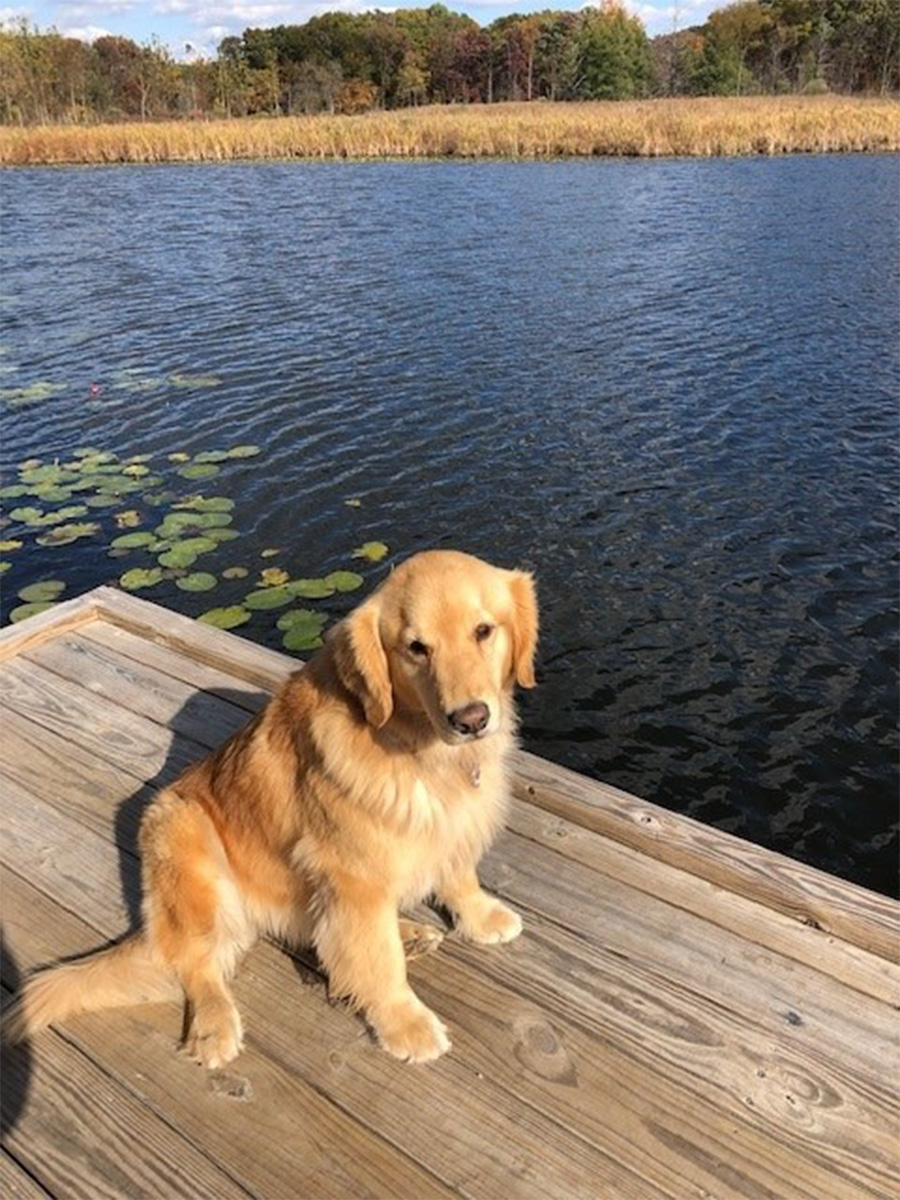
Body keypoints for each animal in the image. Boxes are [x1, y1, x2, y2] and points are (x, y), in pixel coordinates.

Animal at [7, 549, 540, 1065]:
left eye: (483, 631)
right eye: (416, 648)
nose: (471, 719)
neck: (415, 744)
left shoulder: (449, 828)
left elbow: (457, 874)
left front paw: (481, 917)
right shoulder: (350, 875)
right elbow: (378, 962)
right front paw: (405, 1024)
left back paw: (407, 932)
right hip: (186, 839)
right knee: (198, 966)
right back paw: (215, 1027)